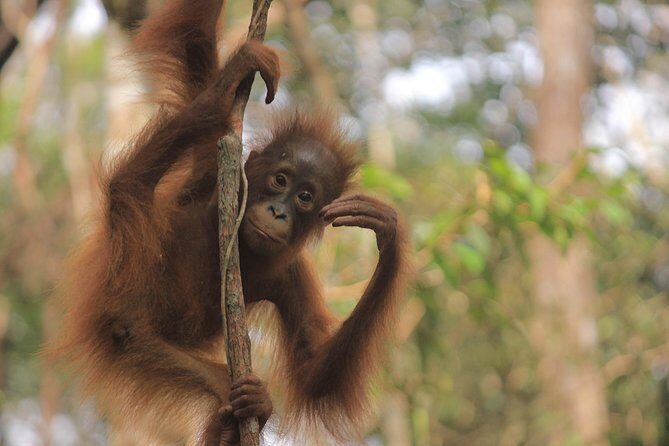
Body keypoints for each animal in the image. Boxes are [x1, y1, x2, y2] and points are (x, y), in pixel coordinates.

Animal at [49, 0, 408, 444]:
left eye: (305, 197)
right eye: (280, 180)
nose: (279, 212)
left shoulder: (291, 274)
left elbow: (314, 374)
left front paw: (388, 237)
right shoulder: (211, 176)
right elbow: (195, 47)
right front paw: (232, 72)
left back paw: (241, 414)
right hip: (123, 271)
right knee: (129, 192)